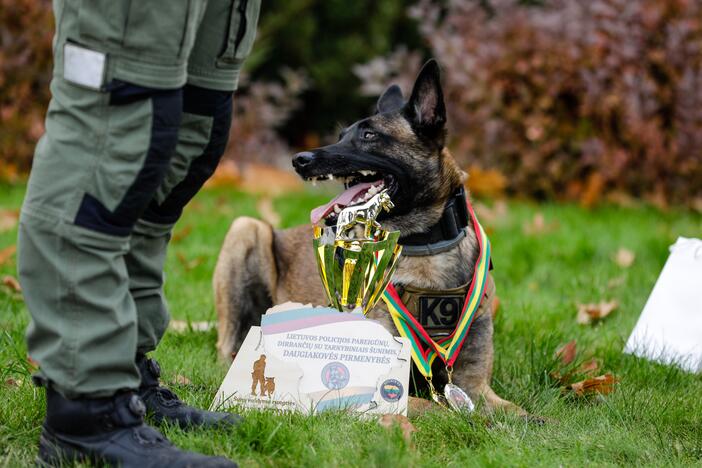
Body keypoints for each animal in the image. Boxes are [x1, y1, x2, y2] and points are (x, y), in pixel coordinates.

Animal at [214, 59, 528, 416]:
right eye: (341, 136)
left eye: (368, 135)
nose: (299, 160)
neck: (425, 242)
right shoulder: (385, 386)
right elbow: (439, 409)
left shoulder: (475, 386)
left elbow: (518, 413)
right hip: (246, 228)